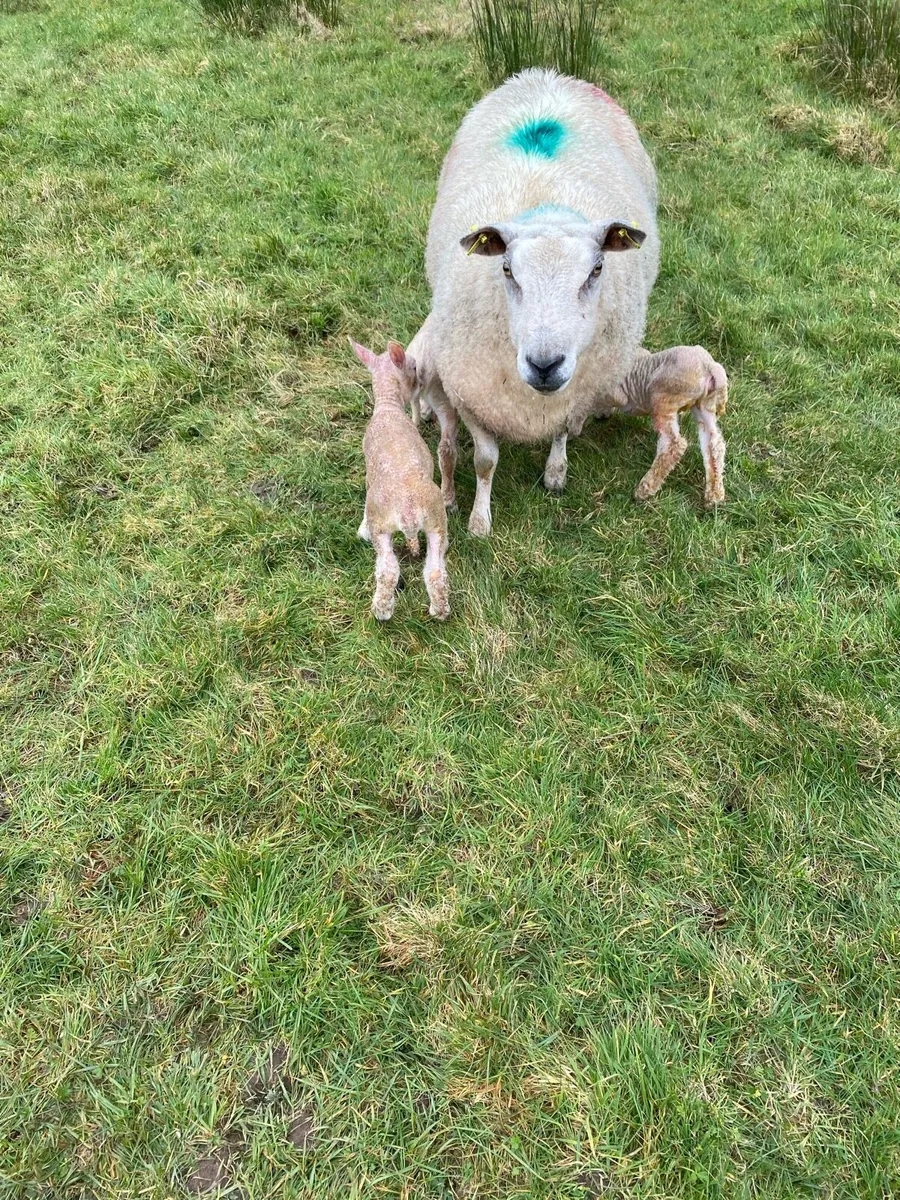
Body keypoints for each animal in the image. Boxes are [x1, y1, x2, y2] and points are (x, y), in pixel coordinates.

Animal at [351, 339, 450, 622]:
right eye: (413, 366)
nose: (421, 380)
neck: (388, 405)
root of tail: (407, 513)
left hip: (383, 525)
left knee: (387, 569)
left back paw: (381, 611)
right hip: (435, 521)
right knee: (435, 570)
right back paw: (439, 611)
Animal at [413, 68, 660, 536]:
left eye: (597, 269)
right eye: (507, 269)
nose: (545, 364)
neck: (544, 209)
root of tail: (547, 74)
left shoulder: (576, 390)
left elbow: (560, 430)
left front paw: (555, 473)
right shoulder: (472, 394)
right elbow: (485, 461)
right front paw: (480, 521)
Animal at [610, 346, 728, 506]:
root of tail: (710, 366)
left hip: (664, 398)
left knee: (674, 444)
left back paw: (644, 490)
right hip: (704, 403)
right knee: (714, 444)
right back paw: (714, 496)